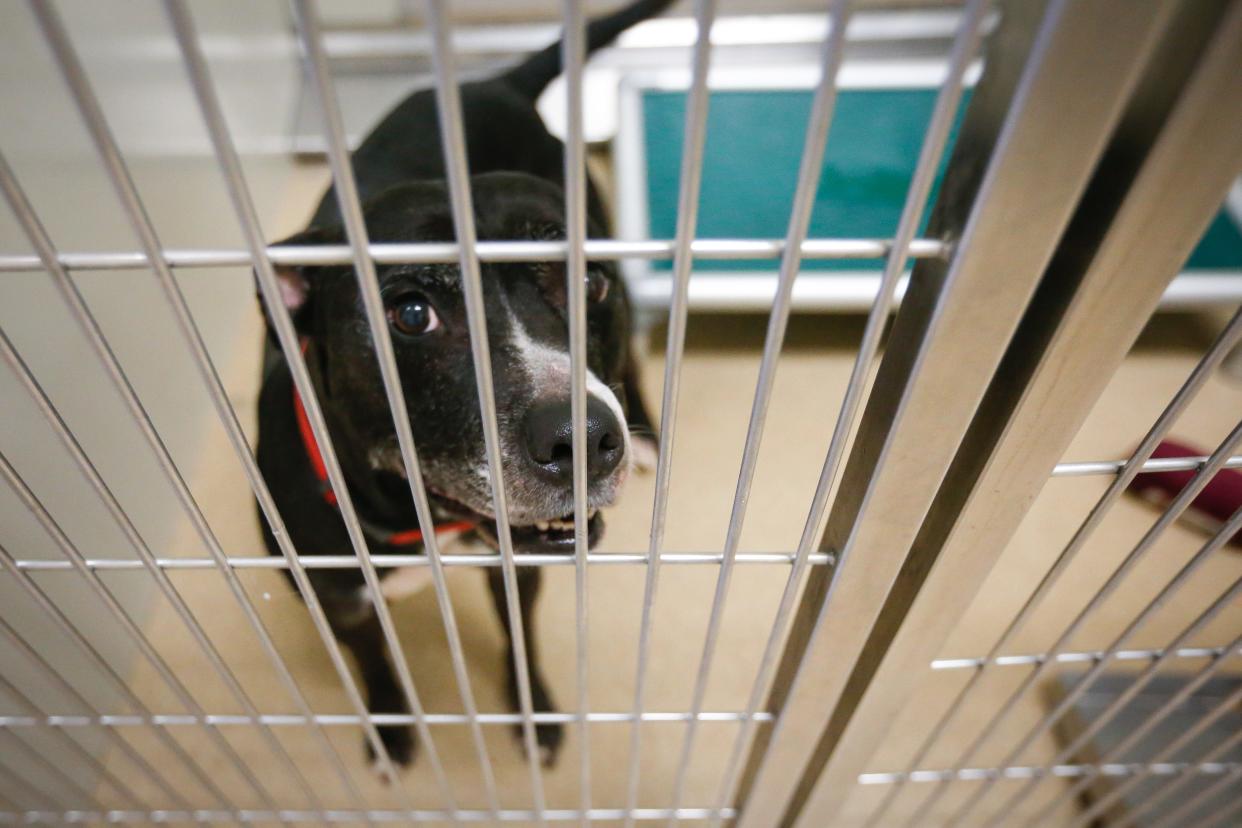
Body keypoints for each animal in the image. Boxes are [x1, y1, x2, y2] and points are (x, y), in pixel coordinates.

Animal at [257, 0, 675, 769]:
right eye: (411, 313)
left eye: (585, 282)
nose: (586, 438)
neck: (419, 520)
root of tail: (497, 81)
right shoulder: (337, 599)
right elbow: (375, 662)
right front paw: (392, 730)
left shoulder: (518, 568)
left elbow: (519, 642)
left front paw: (534, 716)